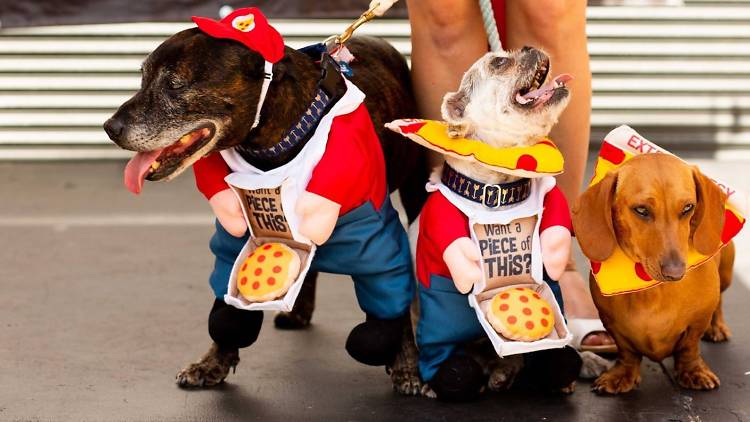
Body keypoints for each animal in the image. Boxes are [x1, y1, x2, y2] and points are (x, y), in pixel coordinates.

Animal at [103, 30, 426, 396]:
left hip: (414, 187)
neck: (280, 138)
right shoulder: (239, 224)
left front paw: (408, 366)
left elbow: (394, 303)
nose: (110, 127)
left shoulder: (380, 236)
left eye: (175, 85)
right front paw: (213, 361)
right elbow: (226, 300)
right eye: (143, 78)